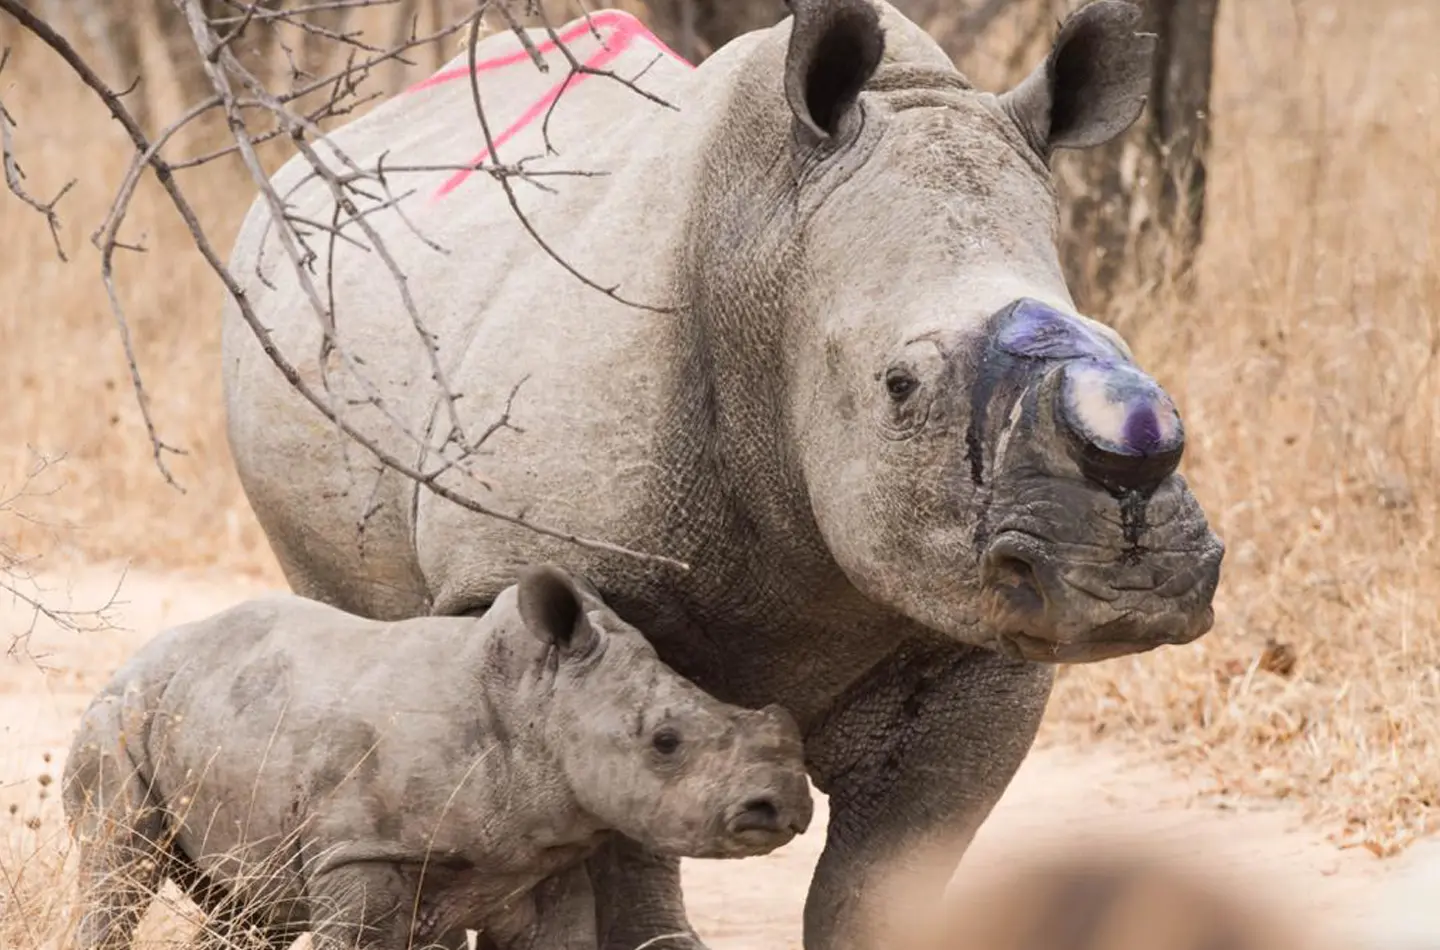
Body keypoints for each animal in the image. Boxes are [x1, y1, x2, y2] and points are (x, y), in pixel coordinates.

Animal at [61, 564, 813, 950]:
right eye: (665, 742)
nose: (785, 806)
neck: (534, 708)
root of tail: (132, 660)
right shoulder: (361, 850)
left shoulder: (540, 864)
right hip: (117, 718)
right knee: (119, 868)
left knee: (253, 908)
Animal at [219, 0, 1226, 947]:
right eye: (900, 385)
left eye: (1122, 343)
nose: (1128, 576)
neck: (773, 268)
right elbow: (613, 814)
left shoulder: (971, 630)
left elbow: (882, 878)